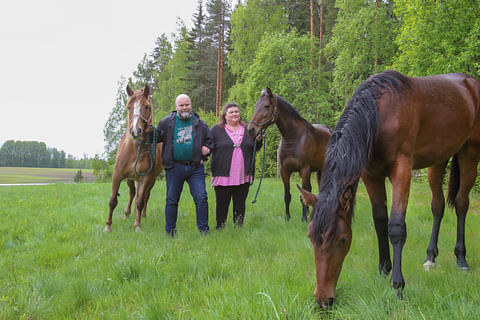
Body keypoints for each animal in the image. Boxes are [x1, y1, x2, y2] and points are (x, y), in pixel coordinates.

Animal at [104, 85, 163, 232]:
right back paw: (127, 213)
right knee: (132, 193)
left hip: (149, 181)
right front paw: (108, 226)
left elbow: (141, 201)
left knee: (144, 196)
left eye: (146, 106)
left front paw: (137, 225)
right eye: (128, 107)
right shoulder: (118, 175)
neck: (135, 149)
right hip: (131, 179)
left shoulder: (147, 178)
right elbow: (113, 200)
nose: (135, 131)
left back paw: (142, 215)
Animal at [249, 88, 332, 222]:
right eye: (256, 105)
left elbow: (302, 195)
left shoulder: (304, 169)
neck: (294, 137)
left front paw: (304, 219)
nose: (251, 129)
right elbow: (288, 195)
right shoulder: (285, 170)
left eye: (266, 106)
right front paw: (287, 218)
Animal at [300, 70, 480, 308]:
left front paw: (397, 284)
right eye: (310, 237)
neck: (378, 114)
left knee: (461, 204)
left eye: (343, 240)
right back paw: (430, 258)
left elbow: (396, 226)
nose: (323, 299)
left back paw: (461, 259)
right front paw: (383, 269)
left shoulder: (401, 170)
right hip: (439, 160)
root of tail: (469, 82)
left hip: (470, 154)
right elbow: (380, 222)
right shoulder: (371, 175)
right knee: (437, 206)